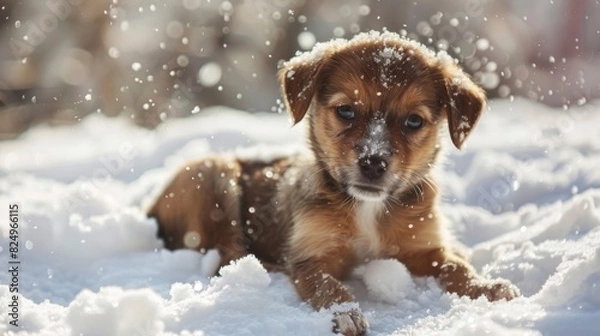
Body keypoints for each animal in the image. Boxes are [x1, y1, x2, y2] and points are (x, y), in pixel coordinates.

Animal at [148, 30, 516, 334]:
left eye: (414, 121)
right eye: (346, 111)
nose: (373, 162)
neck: (368, 207)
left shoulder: (425, 247)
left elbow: (456, 266)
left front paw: (487, 287)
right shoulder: (312, 256)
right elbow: (327, 285)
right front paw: (345, 312)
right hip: (213, 175)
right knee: (227, 252)